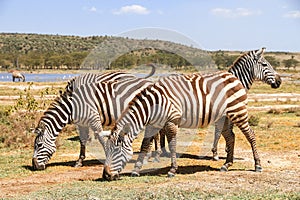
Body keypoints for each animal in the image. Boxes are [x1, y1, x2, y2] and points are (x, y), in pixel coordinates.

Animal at [103, 72, 262, 181]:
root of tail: (233, 76)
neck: (152, 106)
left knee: (251, 135)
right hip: (224, 117)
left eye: (115, 151)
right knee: (231, 137)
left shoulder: (171, 121)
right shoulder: (153, 124)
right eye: (107, 151)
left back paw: (257, 165)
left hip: (238, 112)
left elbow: (172, 145)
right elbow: (144, 145)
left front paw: (172, 170)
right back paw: (227, 165)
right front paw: (136, 169)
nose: (106, 175)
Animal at [148, 47, 282, 162]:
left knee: (160, 131)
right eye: (265, 65)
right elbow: (218, 133)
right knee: (157, 132)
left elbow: (226, 131)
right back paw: (157, 154)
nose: (279, 81)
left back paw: (163, 152)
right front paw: (216, 154)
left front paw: (227, 150)